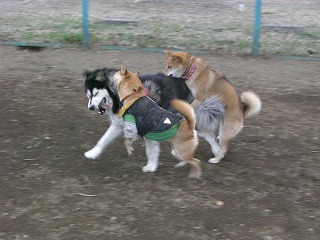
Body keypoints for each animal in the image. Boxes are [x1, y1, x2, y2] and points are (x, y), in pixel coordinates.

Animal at [84, 67, 225, 172]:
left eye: (96, 94)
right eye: (88, 96)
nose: (90, 107)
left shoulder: (148, 129)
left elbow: (150, 150)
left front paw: (150, 166)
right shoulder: (119, 125)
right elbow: (103, 140)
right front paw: (92, 153)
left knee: (207, 134)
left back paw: (217, 153)